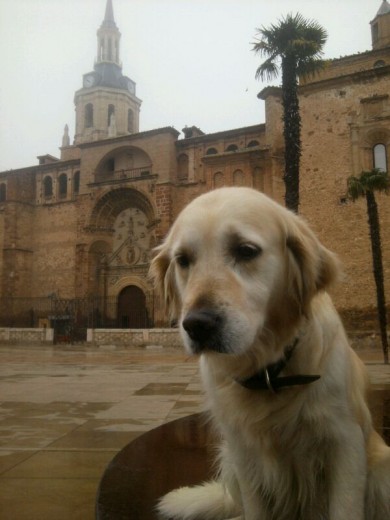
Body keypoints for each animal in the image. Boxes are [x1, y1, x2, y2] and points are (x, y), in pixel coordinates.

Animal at [150, 188, 390, 520]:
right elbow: (255, 508)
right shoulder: (243, 451)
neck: (267, 371)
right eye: (183, 260)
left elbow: (345, 507)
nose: (197, 325)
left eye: (246, 250)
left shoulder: (346, 443)